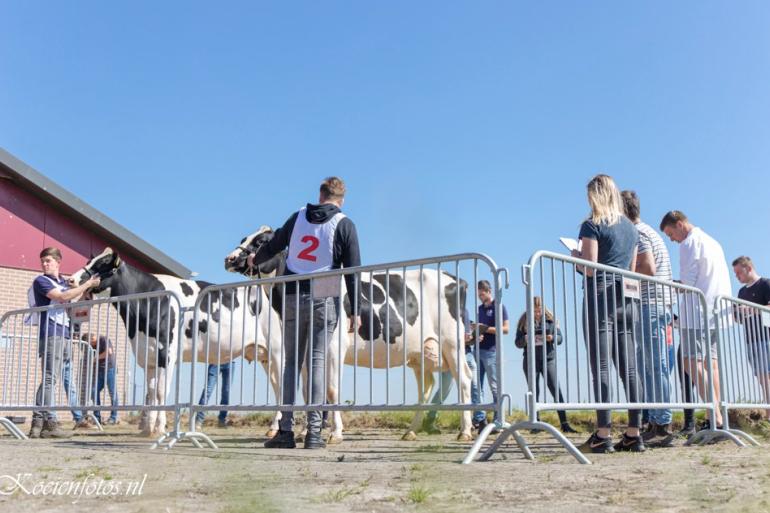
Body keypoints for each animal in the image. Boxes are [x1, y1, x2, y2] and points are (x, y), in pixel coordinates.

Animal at [68, 247, 284, 436]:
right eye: (89, 262)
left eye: (101, 264)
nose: (71, 279)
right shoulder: (148, 356)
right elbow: (151, 393)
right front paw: (149, 429)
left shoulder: (167, 355)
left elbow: (161, 392)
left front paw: (160, 427)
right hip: (265, 356)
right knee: (276, 387)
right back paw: (274, 427)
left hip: (278, 350)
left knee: (283, 385)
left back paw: (276, 427)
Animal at [224, 227, 474, 440]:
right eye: (244, 238)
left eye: (261, 242)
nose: (229, 259)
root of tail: (455, 278)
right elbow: (308, 391)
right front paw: (306, 432)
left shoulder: (335, 347)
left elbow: (332, 390)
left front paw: (335, 433)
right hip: (420, 354)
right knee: (426, 388)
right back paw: (411, 431)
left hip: (452, 344)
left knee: (463, 378)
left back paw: (465, 431)